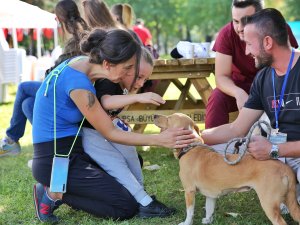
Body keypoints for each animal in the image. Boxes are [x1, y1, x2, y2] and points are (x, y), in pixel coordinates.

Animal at [154, 113, 300, 225]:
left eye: (169, 118)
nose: (154, 115)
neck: (190, 148)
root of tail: (284, 168)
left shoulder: (189, 191)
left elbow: (189, 212)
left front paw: (186, 223)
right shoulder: (210, 194)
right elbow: (209, 209)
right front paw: (207, 220)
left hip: (269, 203)